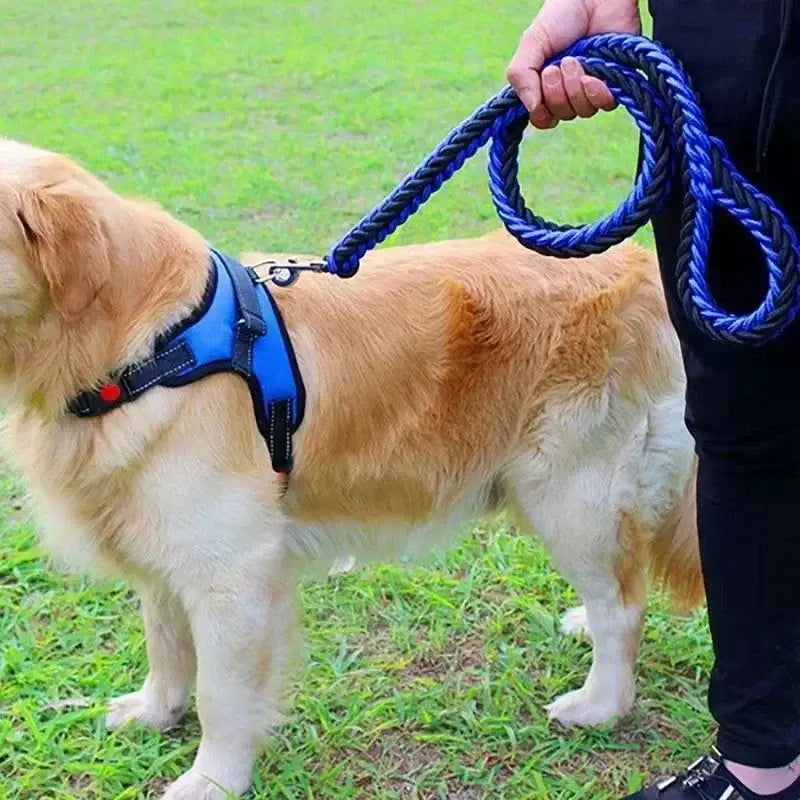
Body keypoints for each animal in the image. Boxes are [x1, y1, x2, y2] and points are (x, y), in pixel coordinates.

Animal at [0, 139, 700, 800]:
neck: (147, 348)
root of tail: (641, 269)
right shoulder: (161, 543)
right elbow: (165, 643)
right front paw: (154, 710)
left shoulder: (232, 573)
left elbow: (221, 698)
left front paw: (213, 780)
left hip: (572, 495)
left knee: (624, 604)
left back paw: (601, 704)